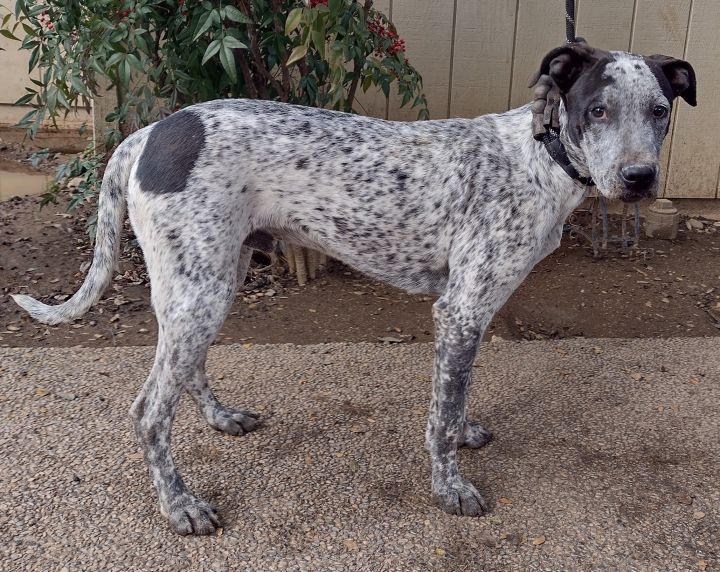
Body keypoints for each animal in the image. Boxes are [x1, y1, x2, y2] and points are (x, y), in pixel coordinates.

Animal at [12, 42, 696, 536]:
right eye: (598, 109)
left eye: (659, 111)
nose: (639, 178)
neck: (538, 157)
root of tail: (149, 133)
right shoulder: (461, 309)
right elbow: (440, 416)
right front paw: (450, 489)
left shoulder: (469, 315)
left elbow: (455, 400)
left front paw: (464, 434)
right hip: (200, 287)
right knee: (150, 411)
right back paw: (181, 506)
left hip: (211, 281)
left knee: (186, 370)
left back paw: (220, 417)